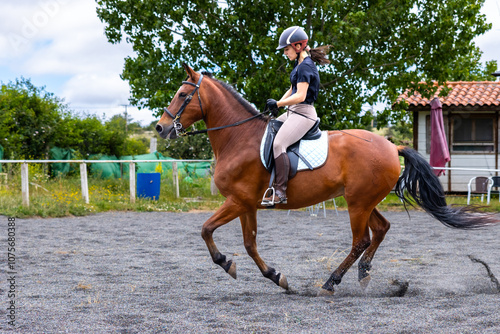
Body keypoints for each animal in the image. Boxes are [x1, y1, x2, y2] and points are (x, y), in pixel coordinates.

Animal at [155, 64, 496, 294]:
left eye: (183, 95)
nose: (161, 128)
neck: (238, 138)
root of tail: (391, 145)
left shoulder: (237, 201)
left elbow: (206, 229)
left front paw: (226, 263)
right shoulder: (247, 204)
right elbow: (250, 244)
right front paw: (276, 277)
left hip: (357, 203)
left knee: (361, 240)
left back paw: (332, 282)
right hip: (363, 200)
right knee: (381, 230)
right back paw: (364, 273)